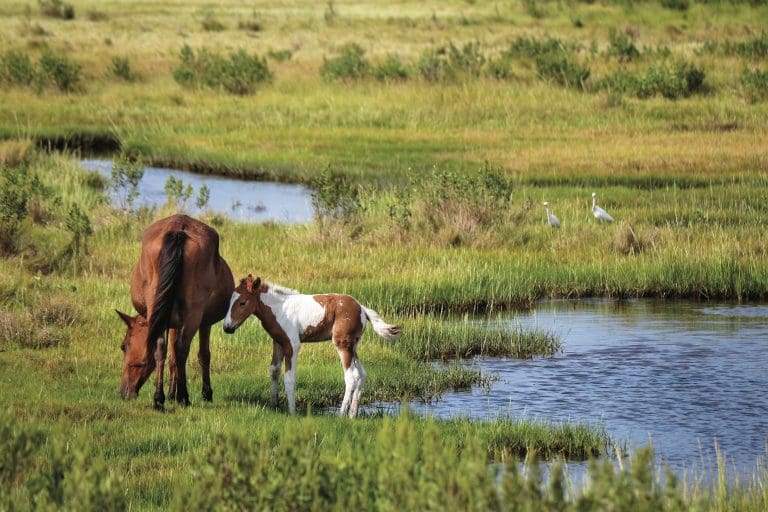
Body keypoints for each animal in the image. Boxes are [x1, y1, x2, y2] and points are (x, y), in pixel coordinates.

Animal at [116, 214, 234, 410]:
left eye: (123, 346)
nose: (123, 392)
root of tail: (179, 228)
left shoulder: (173, 320)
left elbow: (174, 356)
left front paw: (172, 394)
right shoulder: (200, 322)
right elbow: (200, 355)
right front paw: (196, 393)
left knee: (162, 347)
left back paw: (160, 399)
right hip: (193, 313)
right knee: (181, 348)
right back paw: (182, 396)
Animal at [222, 275, 401, 418]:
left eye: (242, 303)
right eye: (230, 301)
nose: (227, 327)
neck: (279, 309)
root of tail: (362, 309)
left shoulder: (292, 344)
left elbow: (289, 378)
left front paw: (292, 412)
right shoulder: (278, 342)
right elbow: (274, 370)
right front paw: (274, 405)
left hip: (342, 344)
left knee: (351, 376)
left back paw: (341, 415)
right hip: (353, 345)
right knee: (362, 374)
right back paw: (352, 414)